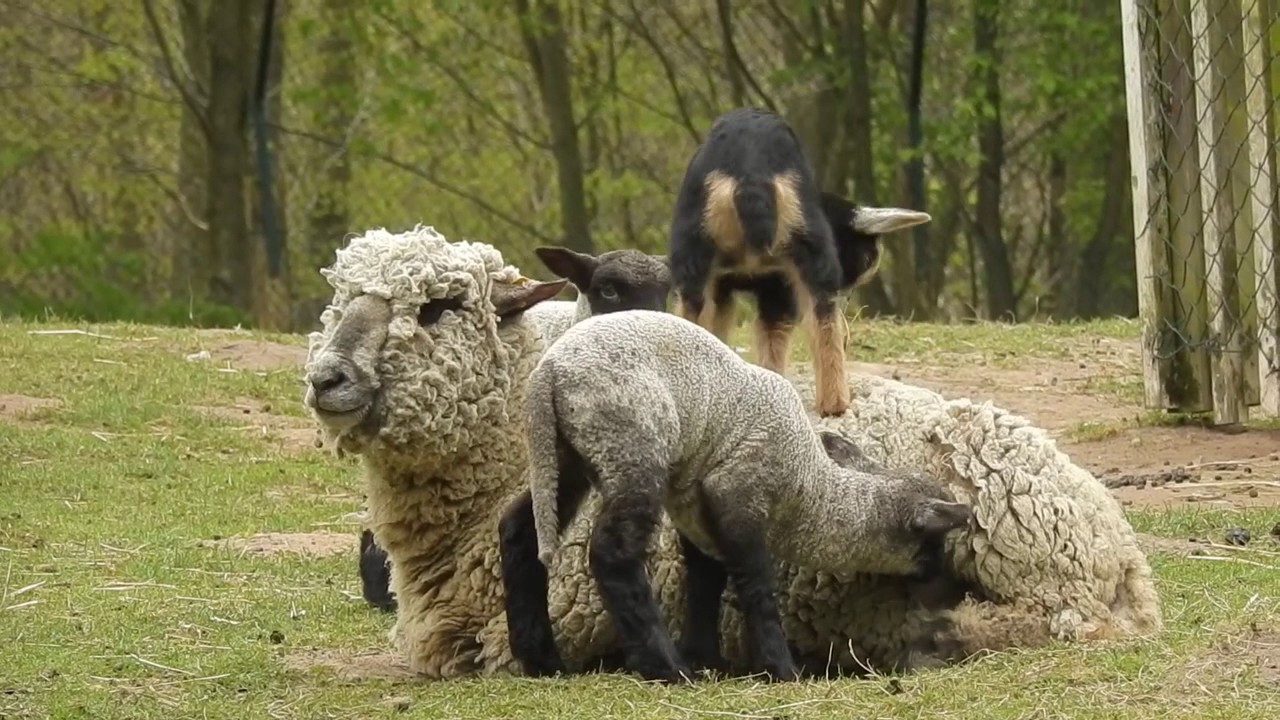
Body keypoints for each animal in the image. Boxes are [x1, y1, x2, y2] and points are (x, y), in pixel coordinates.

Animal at [519, 309, 972, 682]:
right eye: (935, 543)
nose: (956, 594)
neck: (810, 492)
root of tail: (549, 372)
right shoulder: (740, 495)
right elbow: (756, 586)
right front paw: (780, 668)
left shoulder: (698, 516)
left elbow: (706, 581)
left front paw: (706, 656)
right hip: (629, 446)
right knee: (613, 554)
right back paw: (666, 667)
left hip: (562, 455)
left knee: (518, 529)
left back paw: (541, 660)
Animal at [667, 106, 931, 418]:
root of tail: (751, 171)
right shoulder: (775, 285)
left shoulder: (739, 285)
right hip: (806, 255)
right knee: (823, 319)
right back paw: (835, 404)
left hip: (700, 259)